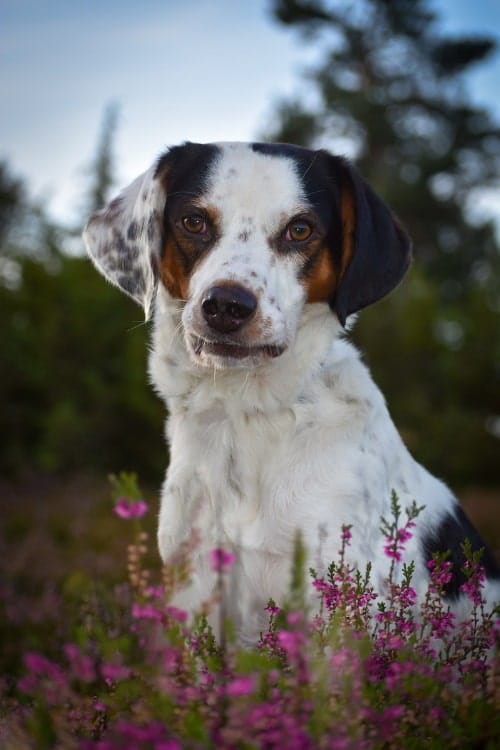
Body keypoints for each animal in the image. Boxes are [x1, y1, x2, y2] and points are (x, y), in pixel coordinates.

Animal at [84, 142, 498, 648]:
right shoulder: (195, 591)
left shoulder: (336, 601)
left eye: (300, 229)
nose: (226, 306)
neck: (247, 415)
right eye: (193, 221)